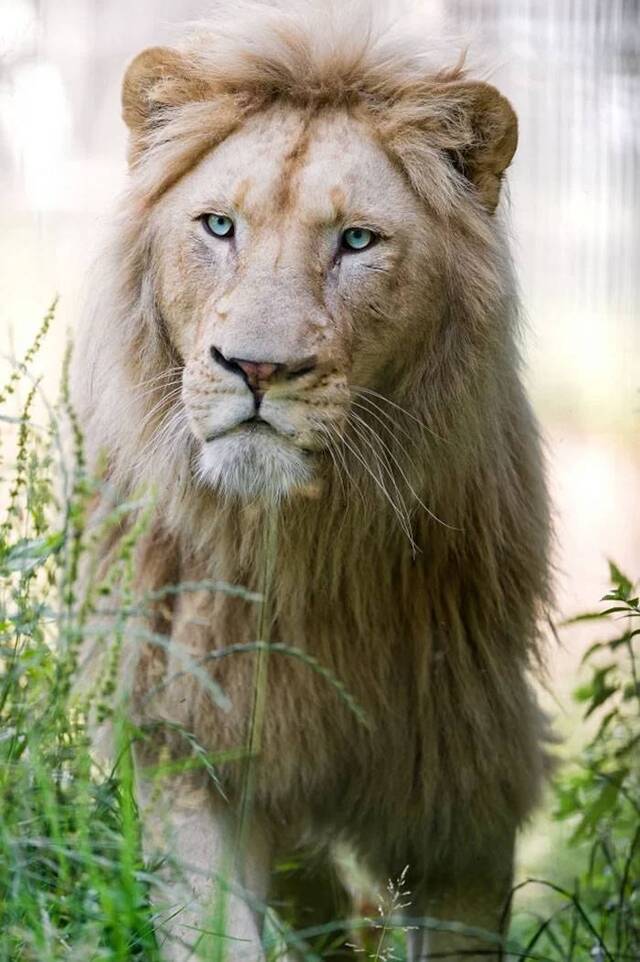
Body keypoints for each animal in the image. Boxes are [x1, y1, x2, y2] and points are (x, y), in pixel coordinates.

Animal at [71, 1, 552, 960]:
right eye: (219, 227)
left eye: (357, 240)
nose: (256, 368)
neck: (304, 548)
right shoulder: (195, 741)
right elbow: (217, 929)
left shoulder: (466, 778)